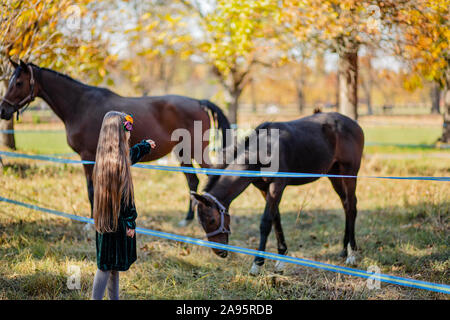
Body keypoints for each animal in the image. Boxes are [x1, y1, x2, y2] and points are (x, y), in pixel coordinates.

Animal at [0, 60, 230, 225]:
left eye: (18, 83)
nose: (3, 110)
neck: (79, 104)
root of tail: (199, 102)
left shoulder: (87, 156)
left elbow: (91, 189)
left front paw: (91, 222)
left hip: (197, 150)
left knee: (211, 174)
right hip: (182, 153)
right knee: (192, 181)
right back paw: (188, 218)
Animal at [192, 112, 364, 276]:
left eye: (212, 220)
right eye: (201, 223)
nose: (219, 252)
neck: (262, 150)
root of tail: (354, 124)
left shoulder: (277, 186)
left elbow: (266, 222)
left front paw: (257, 264)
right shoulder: (264, 189)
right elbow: (276, 219)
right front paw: (281, 261)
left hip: (349, 173)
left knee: (351, 207)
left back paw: (352, 254)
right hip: (334, 174)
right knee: (345, 204)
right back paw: (344, 250)